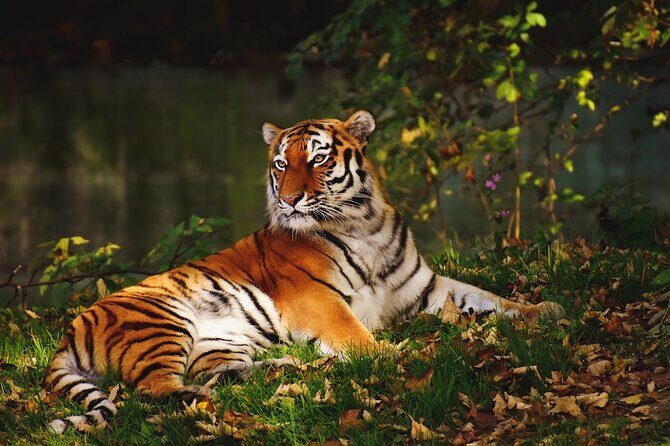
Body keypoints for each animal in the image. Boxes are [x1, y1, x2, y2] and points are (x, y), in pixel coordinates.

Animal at [43, 110, 562, 433]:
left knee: (221, 373)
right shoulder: (318, 300)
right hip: (162, 322)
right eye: (279, 164)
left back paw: (292, 367)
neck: (364, 224)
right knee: (154, 391)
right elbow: (358, 336)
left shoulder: (424, 287)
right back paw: (201, 399)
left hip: (219, 340)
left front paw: (546, 309)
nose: (290, 199)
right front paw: (397, 355)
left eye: (318, 158)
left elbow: (488, 297)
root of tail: (70, 329)